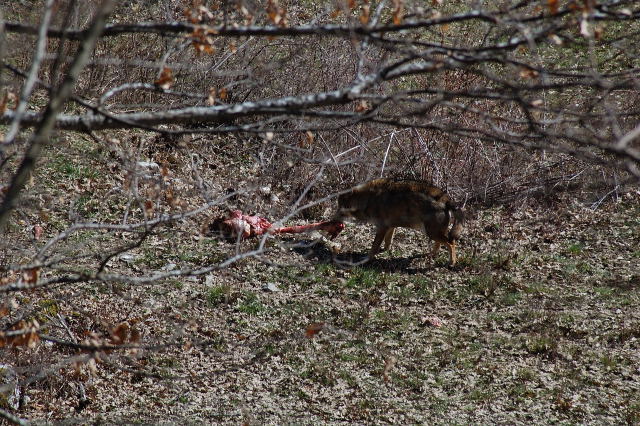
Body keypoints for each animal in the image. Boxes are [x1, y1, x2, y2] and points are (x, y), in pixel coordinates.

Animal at [336, 178, 464, 264]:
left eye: (340, 210)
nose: (333, 219)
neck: (367, 199)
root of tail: (446, 199)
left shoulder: (381, 228)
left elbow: (373, 247)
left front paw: (366, 259)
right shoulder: (390, 227)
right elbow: (387, 243)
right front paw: (384, 252)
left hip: (431, 232)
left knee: (451, 243)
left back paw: (452, 262)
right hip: (432, 233)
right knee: (440, 245)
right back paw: (431, 255)